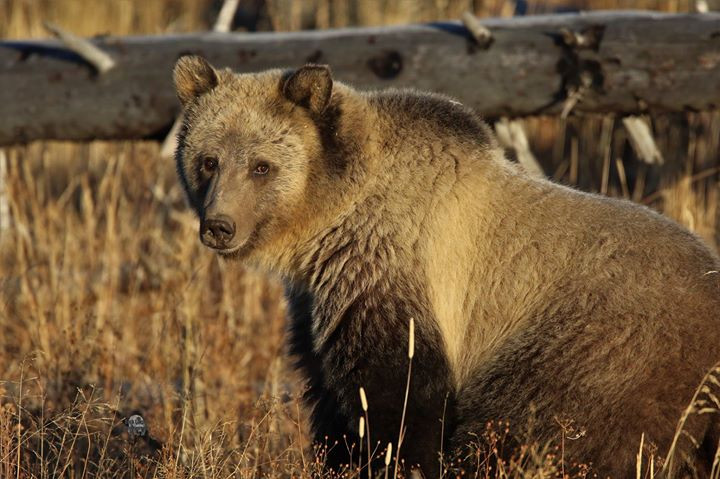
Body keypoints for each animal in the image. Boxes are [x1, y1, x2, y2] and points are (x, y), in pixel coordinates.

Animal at [172, 55, 720, 477]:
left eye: (261, 166)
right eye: (208, 160)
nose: (219, 226)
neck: (326, 226)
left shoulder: (398, 274)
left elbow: (398, 397)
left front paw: (399, 460)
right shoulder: (318, 302)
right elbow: (331, 398)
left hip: (601, 349)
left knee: (536, 431)